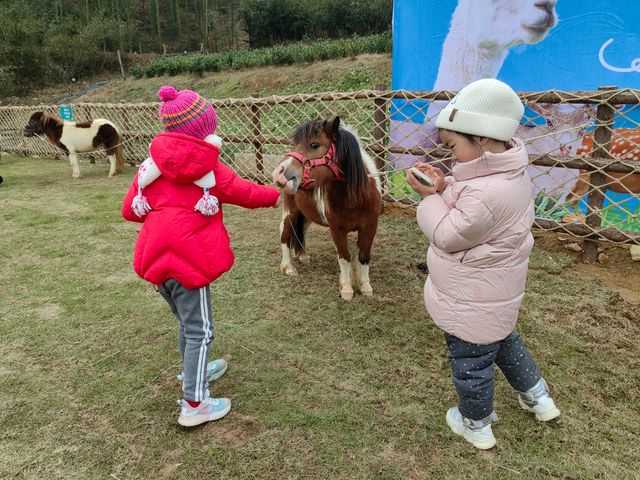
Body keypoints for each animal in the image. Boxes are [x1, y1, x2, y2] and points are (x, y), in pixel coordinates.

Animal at [272, 116, 382, 300]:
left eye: (315, 145)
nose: (278, 173)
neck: (354, 198)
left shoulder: (370, 226)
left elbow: (364, 255)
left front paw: (365, 286)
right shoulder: (336, 229)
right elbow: (344, 256)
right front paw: (346, 288)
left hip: (306, 214)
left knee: (300, 231)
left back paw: (303, 255)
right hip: (291, 212)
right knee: (285, 233)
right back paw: (288, 267)